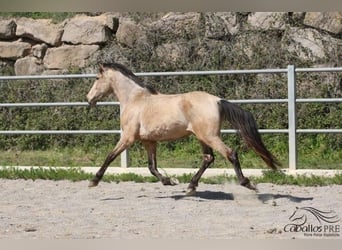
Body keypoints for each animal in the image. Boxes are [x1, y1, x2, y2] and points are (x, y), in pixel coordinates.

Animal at [86, 62, 280, 195]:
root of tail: (217, 100)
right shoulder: (149, 141)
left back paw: (248, 183)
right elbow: (151, 167)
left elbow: (110, 157)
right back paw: (191, 186)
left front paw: (94, 180)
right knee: (208, 158)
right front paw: (169, 181)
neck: (135, 100)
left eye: (96, 78)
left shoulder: (128, 138)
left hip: (210, 136)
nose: (89, 98)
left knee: (230, 154)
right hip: (202, 137)